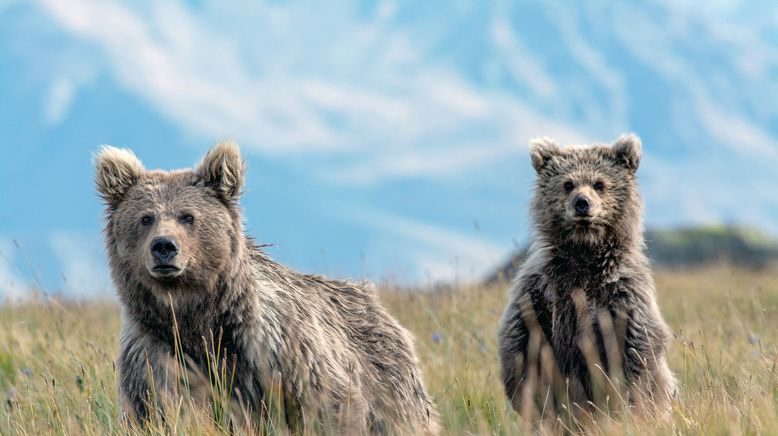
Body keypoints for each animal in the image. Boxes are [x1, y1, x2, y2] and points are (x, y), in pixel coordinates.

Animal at [92, 142, 436, 432]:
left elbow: (331, 409)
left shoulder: (278, 356)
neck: (198, 318)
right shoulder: (155, 358)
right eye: (145, 218)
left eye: (188, 216)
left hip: (390, 385)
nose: (164, 246)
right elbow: (152, 411)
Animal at [498, 135, 672, 422]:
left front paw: (627, 404)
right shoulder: (540, 288)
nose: (582, 203)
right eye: (568, 184)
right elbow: (522, 342)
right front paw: (530, 398)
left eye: (599, 184)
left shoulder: (623, 292)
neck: (583, 255)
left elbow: (637, 346)